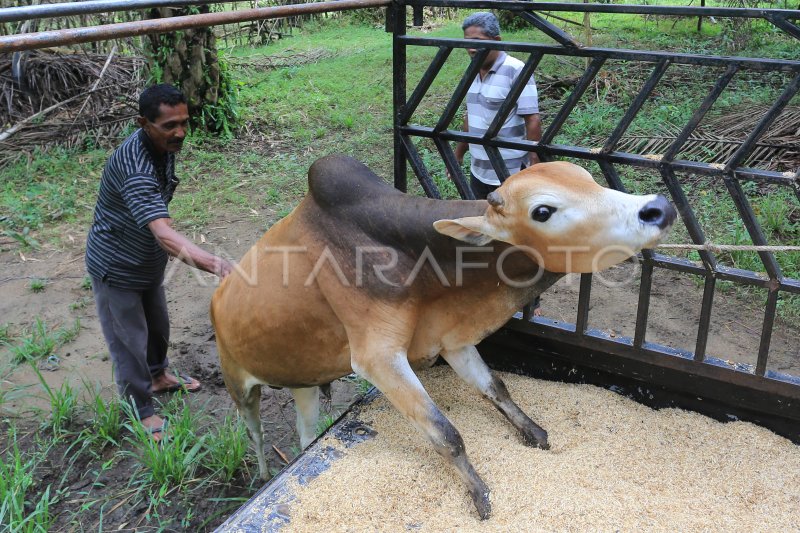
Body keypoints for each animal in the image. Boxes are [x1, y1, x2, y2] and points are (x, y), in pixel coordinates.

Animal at [212, 155, 676, 520]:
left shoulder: (453, 341)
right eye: (543, 211)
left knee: (306, 433)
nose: (658, 208)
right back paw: (263, 475)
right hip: (239, 387)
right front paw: (480, 494)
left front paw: (534, 433)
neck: (422, 263)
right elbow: (445, 433)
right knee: (255, 434)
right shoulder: (377, 358)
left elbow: (496, 387)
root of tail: (221, 290)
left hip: (302, 384)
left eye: (587, 177)